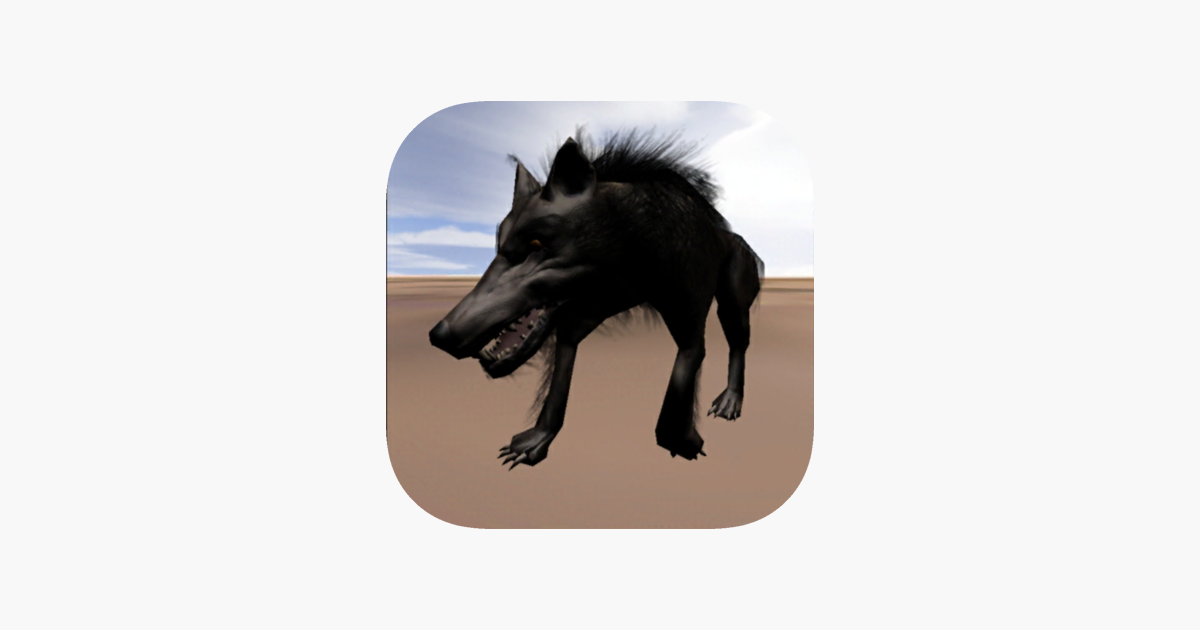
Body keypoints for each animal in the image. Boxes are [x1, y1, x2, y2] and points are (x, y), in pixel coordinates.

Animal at [428, 129, 763, 469]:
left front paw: (686, 441)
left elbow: (676, 396)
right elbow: (559, 377)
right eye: (498, 242)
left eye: (536, 243)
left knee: (739, 343)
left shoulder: (689, 326)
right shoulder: (581, 316)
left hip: (732, 304)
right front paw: (536, 441)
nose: (440, 335)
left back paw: (730, 402)